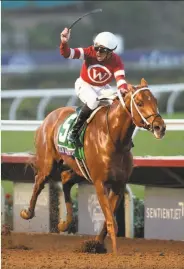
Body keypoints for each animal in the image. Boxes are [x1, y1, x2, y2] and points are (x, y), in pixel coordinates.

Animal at [19, 78, 165, 253]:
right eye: (140, 102)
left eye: (155, 101)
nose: (160, 127)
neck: (114, 139)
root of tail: (49, 117)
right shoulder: (100, 183)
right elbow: (111, 221)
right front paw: (115, 252)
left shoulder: (119, 184)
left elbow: (108, 219)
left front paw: (96, 245)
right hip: (48, 164)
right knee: (39, 182)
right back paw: (27, 213)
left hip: (78, 169)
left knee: (65, 179)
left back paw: (65, 223)